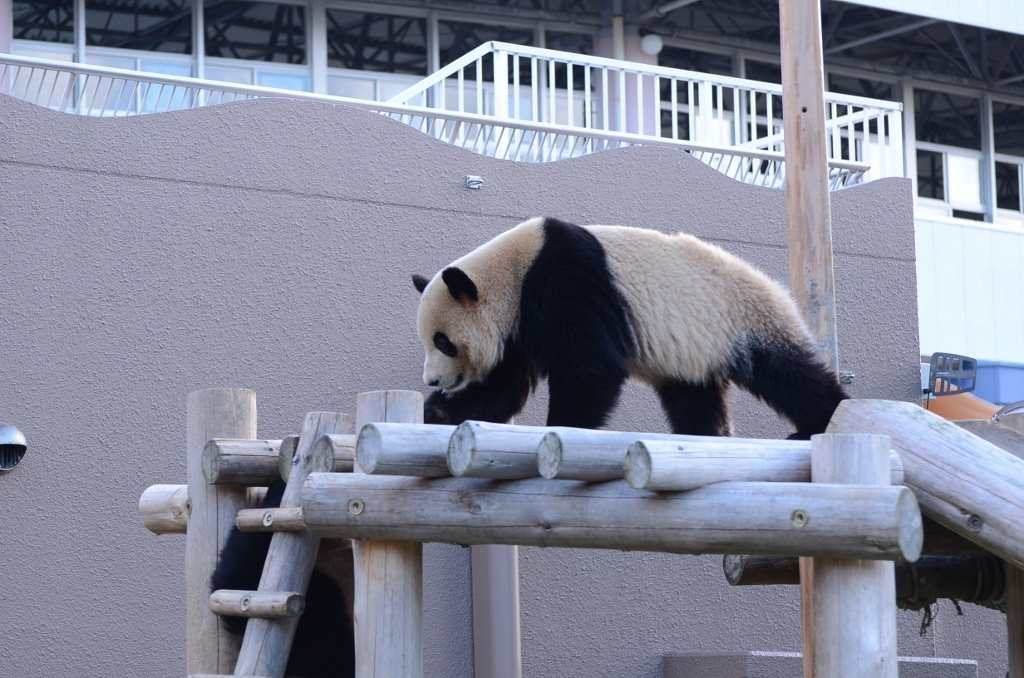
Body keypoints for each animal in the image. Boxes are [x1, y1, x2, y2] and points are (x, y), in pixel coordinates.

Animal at [409, 218, 847, 440]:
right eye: (429, 341)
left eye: (443, 342)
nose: (433, 381)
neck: (514, 268)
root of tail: (777, 288)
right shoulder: (515, 328)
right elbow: (501, 388)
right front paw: (438, 411)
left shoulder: (564, 279)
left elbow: (589, 367)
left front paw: (562, 427)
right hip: (696, 350)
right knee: (693, 396)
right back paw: (705, 435)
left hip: (743, 318)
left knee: (788, 375)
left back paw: (817, 423)